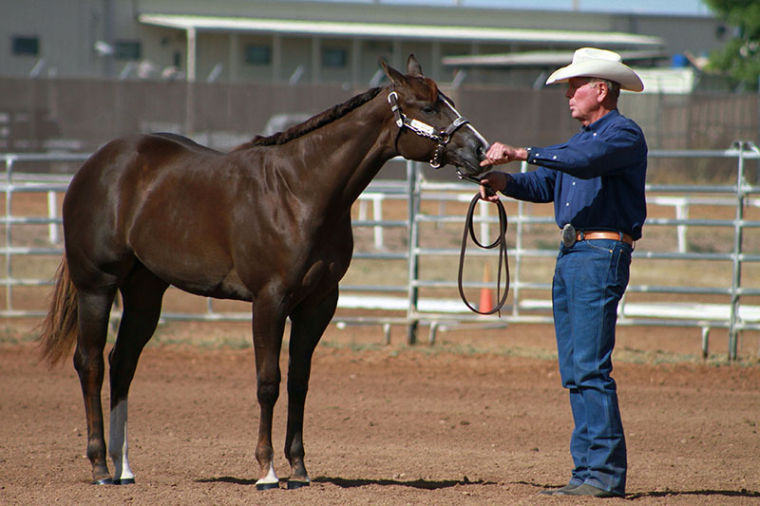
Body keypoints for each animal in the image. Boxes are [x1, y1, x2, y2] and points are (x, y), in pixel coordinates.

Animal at [39, 54, 490, 490]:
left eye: (448, 101)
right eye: (428, 107)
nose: (481, 150)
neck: (298, 192)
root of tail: (96, 165)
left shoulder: (318, 304)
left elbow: (299, 381)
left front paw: (300, 469)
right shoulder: (269, 301)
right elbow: (268, 382)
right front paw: (267, 471)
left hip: (145, 292)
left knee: (123, 363)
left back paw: (124, 467)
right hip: (97, 286)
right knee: (91, 363)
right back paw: (100, 466)